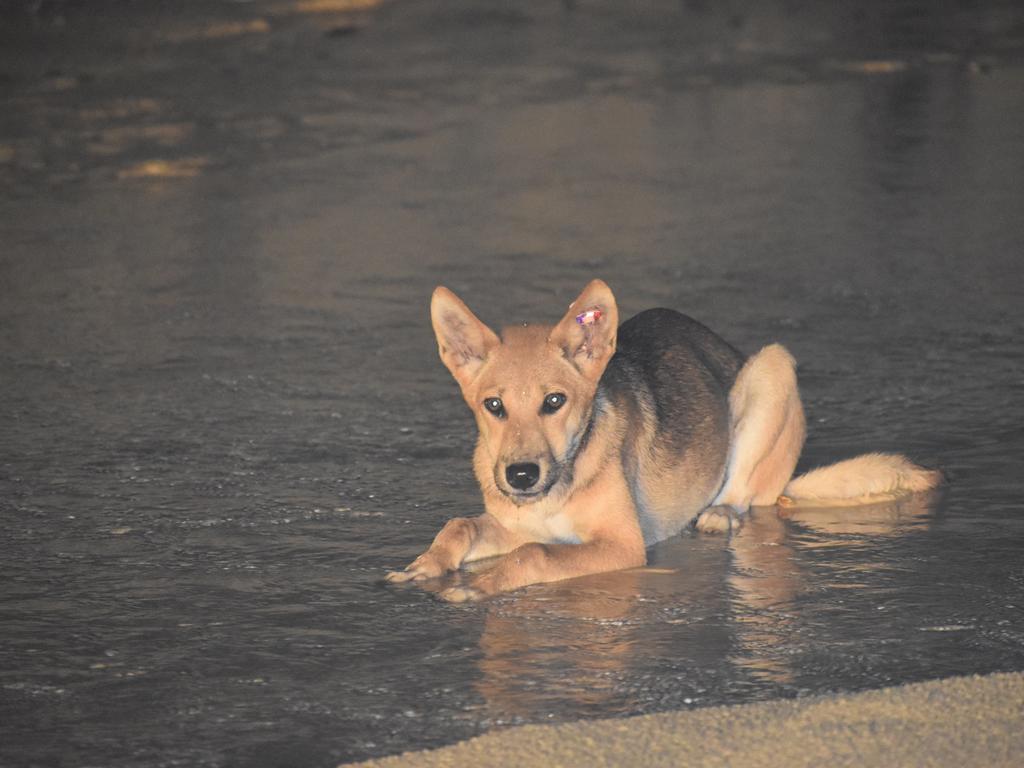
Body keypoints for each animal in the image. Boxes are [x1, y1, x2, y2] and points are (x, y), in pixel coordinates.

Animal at [385, 280, 937, 606]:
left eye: (555, 401)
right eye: (494, 406)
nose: (520, 476)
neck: (566, 475)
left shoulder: (621, 544)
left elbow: (534, 556)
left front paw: (476, 585)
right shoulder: (512, 524)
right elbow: (461, 526)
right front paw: (426, 565)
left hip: (771, 368)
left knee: (744, 494)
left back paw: (719, 512)